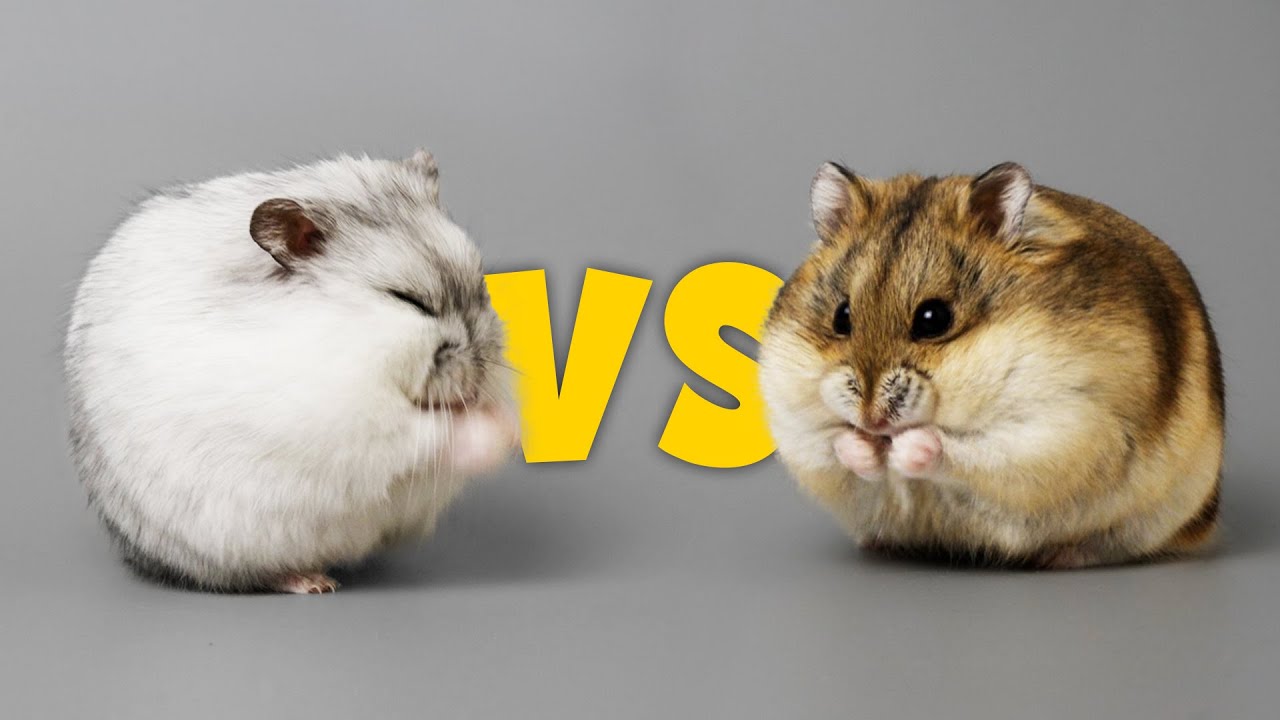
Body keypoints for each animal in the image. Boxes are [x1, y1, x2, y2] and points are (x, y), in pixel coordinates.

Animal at [65, 151, 519, 592]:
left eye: (481, 287)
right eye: (409, 300)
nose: (479, 379)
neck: (341, 335)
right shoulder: (344, 421)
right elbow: (430, 434)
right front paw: (504, 431)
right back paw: (313, 582)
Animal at [759, 161, 1224, 569]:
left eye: (933, 319)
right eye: (842, 317)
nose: (872, 420)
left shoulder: (1062, 427)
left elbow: (962, 448)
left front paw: (903, 446)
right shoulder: (793, 425)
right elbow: (831, 442)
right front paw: (868, 447)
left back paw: (1060, 557)